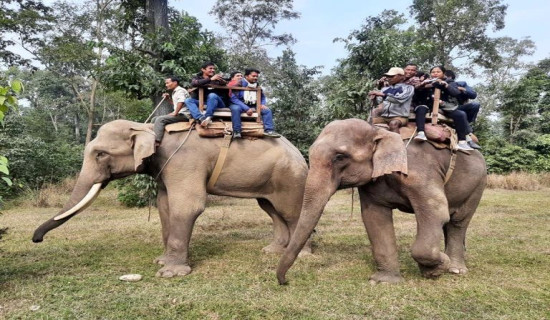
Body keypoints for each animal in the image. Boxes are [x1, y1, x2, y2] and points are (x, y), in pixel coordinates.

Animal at [33, 120, 310, 278]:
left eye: (100, 154)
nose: (37, 239)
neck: (148, 129)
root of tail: (299, 154)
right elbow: (164, 206)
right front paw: (161, 260)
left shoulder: (184, 162)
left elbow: (188, 206)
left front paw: (170, 273)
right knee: (271, 209)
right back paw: (273, 251)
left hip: (290, 178)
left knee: (291, 212)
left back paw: (302, 256)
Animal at [278, 119, 490, 284]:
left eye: (339, 157)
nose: (284, 281)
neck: (378, 131)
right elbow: (374, 217)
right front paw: (383, 282)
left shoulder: (419, 171)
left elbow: (436, 212)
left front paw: (436, 269)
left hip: (478, 183)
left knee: (458, 222)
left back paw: (455, 269)